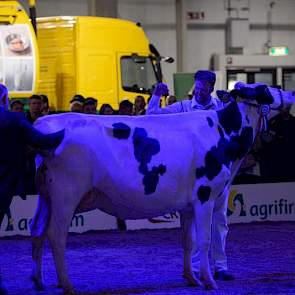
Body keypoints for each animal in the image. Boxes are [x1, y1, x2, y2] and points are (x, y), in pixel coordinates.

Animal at [30, 82, 295, 294]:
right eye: (265, 89)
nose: (291, 92)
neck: (223, 134)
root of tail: (45, 123)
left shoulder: (188, 205)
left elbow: (187, 241)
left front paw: (191, 278)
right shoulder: (205, 195)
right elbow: (205, 240)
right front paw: (209, 281)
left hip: (46, 196)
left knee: (37, 230)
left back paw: (39, 281)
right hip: (66, 194)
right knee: (56, 235)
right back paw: (67, 285)